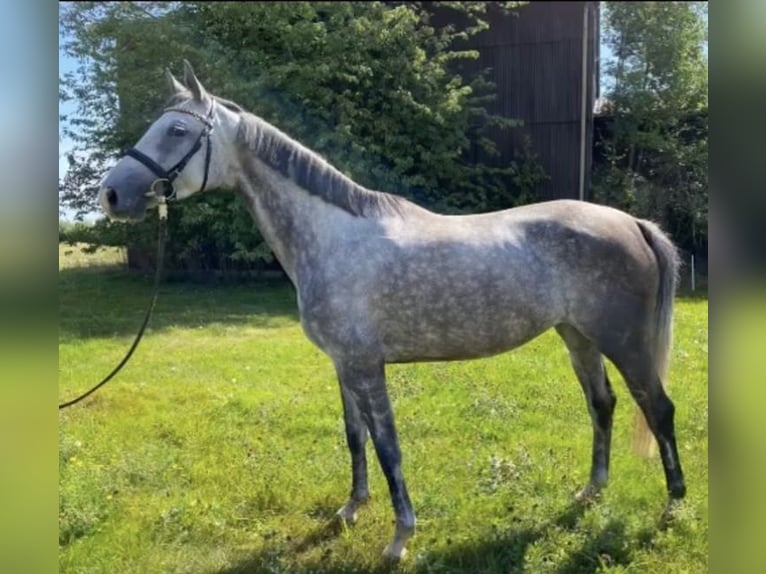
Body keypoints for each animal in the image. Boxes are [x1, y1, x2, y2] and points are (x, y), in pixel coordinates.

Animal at [97, 63, 688, 564]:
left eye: (176, 130)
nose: (111, 195)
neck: (331, 237)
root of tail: (632, 223)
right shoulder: (343, 365)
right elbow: (354, 438)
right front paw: (350, 510)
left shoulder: (366, 366)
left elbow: (387, 448)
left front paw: (400, 537)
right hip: (577, 335)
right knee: (602, 404)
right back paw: (591, 491)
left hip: (624, 341)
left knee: (658, 409)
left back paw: (674, 506)